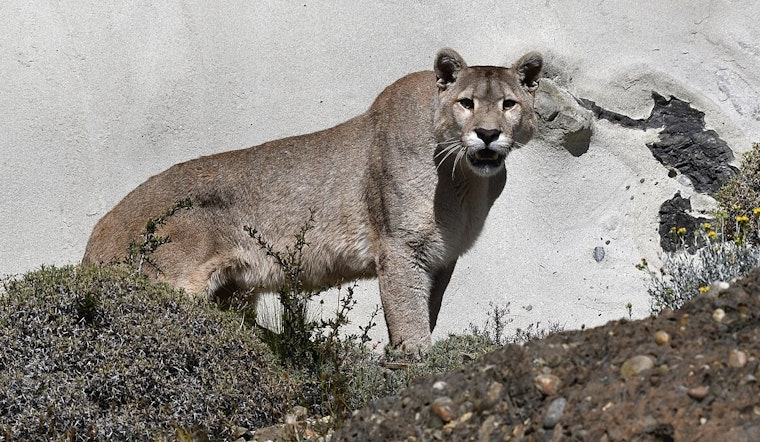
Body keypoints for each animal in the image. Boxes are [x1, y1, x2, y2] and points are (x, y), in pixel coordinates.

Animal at [83, 48, 543, 351]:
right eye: (466, 103)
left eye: (509, 104)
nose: (488, 134)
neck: (465, 181)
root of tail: (97, 233)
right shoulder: (399, 247)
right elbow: (408, 311)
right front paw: (416, 359)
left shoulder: (443, 255)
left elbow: (427, 306)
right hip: (173, 282)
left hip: (233, 294)